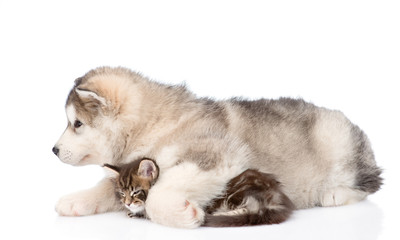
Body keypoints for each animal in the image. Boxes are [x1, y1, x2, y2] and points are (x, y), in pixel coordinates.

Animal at [52, 66, 382, 228]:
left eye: (76, 124)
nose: (53, 150)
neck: (155, 125)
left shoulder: (217, 159)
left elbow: (160, 192)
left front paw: (184, 214)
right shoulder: (129, 171)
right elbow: (108, 187)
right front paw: (75, 200)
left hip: (337, 138)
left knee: (371, 182)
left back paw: (335, 193)